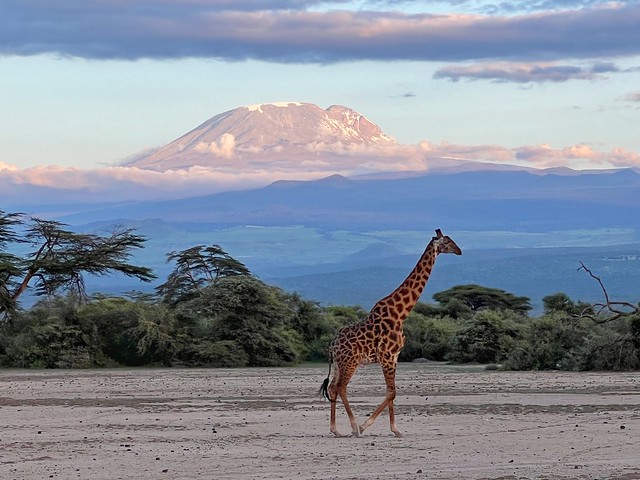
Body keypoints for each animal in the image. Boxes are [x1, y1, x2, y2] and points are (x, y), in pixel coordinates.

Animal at [318, 230, 460, 438]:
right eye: (448, 242)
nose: (459, 251)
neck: (400, 314)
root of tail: (332, 344)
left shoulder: (394, 356)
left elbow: (390, 391)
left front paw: (395, 429)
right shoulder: (387, 356)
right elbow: (392, 392)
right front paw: (365, 425)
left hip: (339, 363)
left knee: (332, 388)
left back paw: (335, 429)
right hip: (350, 362)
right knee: (341, 387)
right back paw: (353, 427)